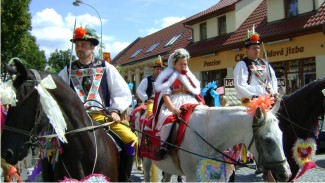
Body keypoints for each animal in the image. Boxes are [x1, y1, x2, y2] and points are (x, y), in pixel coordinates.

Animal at [133, 103, 290, 182]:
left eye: (282, 135)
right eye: (267, 139)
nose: (286, 174)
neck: (207, 133)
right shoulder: (191, 176)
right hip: (147, 160)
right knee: (147, 175)